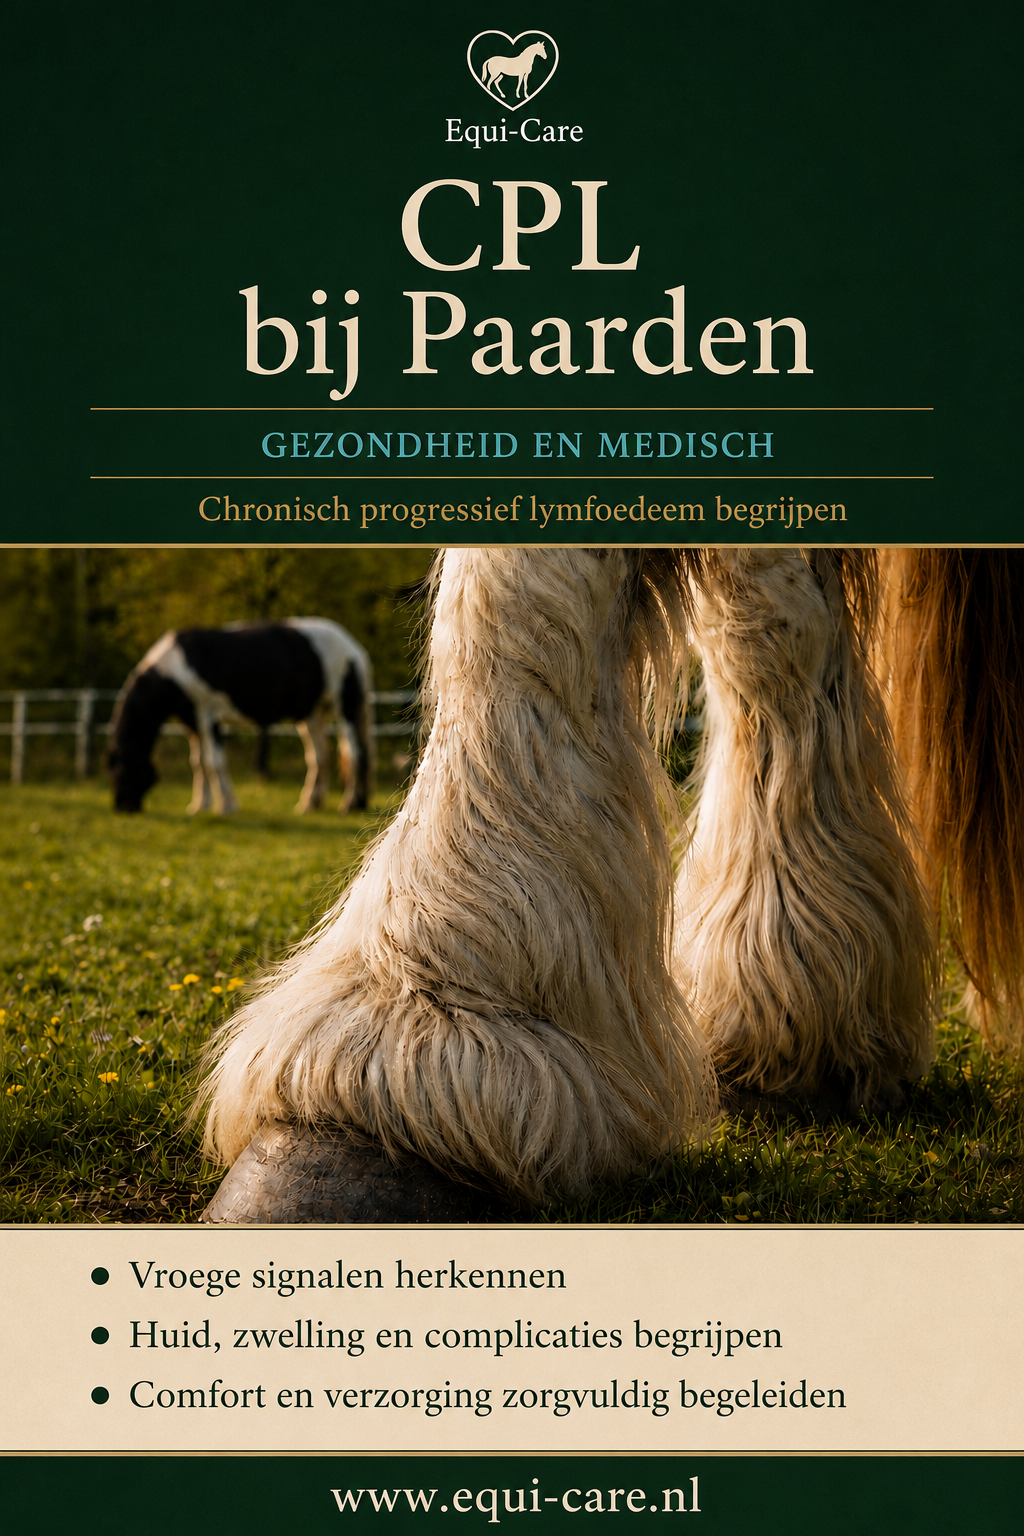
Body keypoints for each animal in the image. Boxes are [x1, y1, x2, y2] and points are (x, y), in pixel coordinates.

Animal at [107, 617, 374, 816]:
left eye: (122, 771)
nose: (123, 807)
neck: (176, 666)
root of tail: (355, 649)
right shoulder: (192, 723)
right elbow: (198, 763)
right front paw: (199, 805)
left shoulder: (208, 717)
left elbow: (213, 763)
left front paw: (226, 805)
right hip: (314, 713)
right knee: (319, 757)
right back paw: (309, 804)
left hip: (345, 707)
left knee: (353, 754)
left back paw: (348, 805)